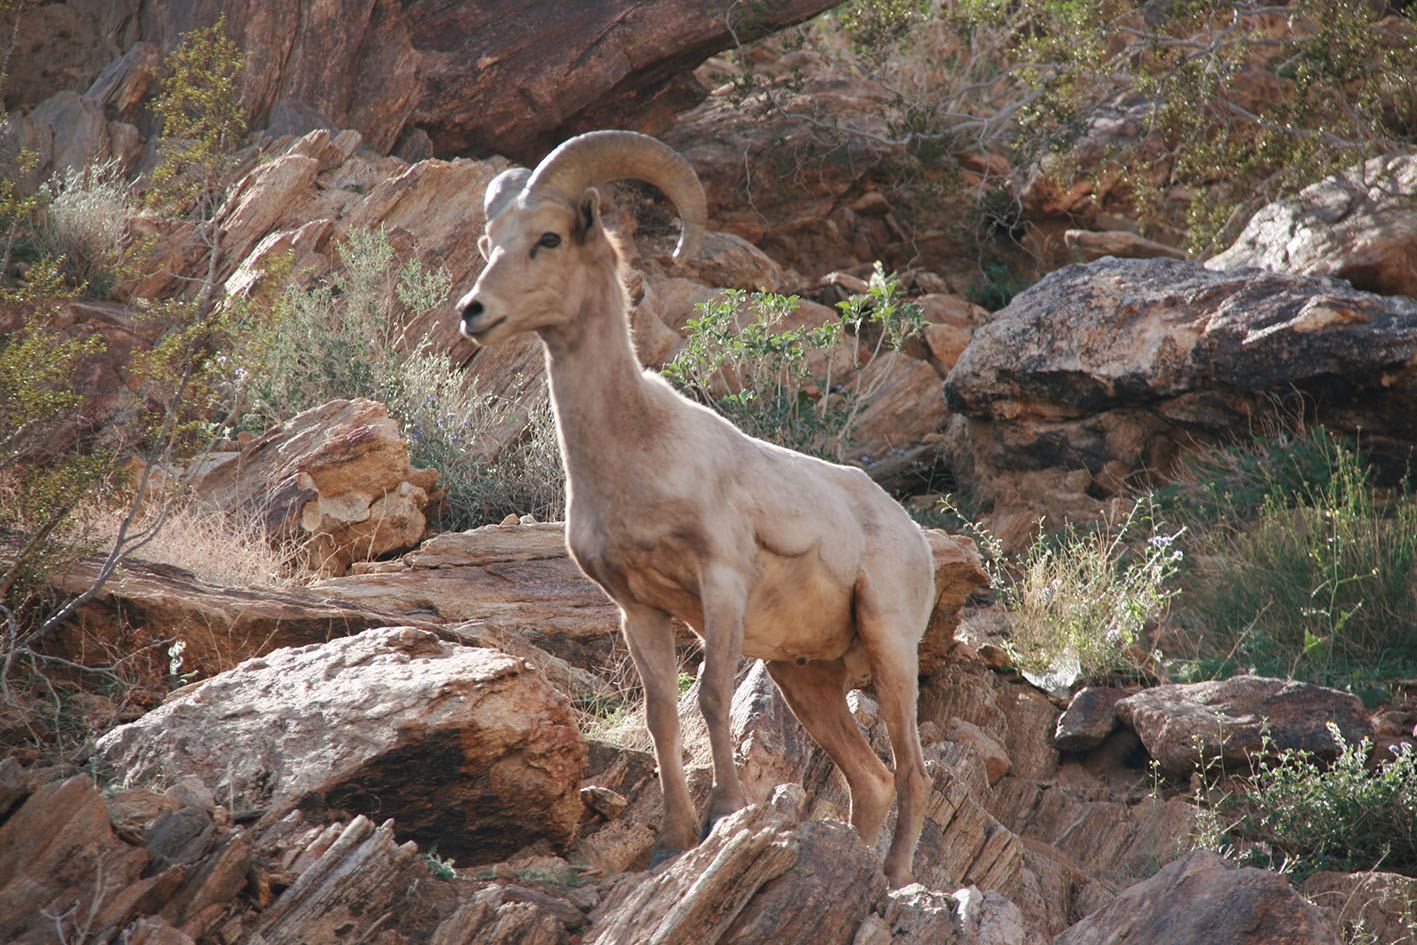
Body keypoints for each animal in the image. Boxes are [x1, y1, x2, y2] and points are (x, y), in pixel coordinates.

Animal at [455, 130, 935, 887]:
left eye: (549, 238)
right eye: (489, 242)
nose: (472, 311)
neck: (637, 450)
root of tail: (911, 533)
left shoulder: (721, 582)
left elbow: (709, 696)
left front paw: (725, 813)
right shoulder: (638, 609)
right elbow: (662, 716)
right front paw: (672, 840)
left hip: (889, 648)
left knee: (913, 774)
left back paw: (891, 878)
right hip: (805, 678)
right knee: (872, 781)